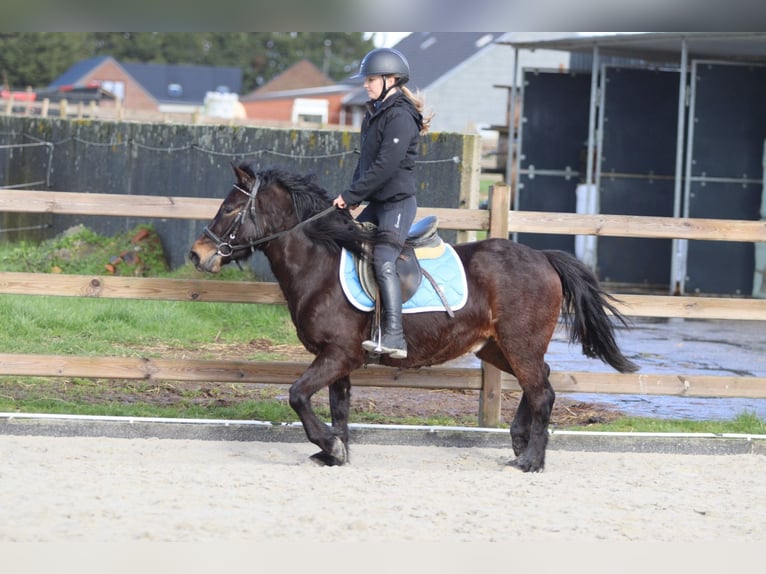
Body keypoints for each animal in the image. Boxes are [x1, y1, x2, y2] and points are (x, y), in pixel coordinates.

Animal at [189, 161, 639, 472]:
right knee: (539, 380)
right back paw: (518, 444)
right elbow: (339, 406)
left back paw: (531, 461)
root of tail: (542, 257)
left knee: (542, 390)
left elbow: (298, 395)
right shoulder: (337, 359)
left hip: (519, 343)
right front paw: (335, 453)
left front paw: (329, 446)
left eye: (229, 209)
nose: (197, 254)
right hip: (496, 348)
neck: (320, 262)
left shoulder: (338, 355)